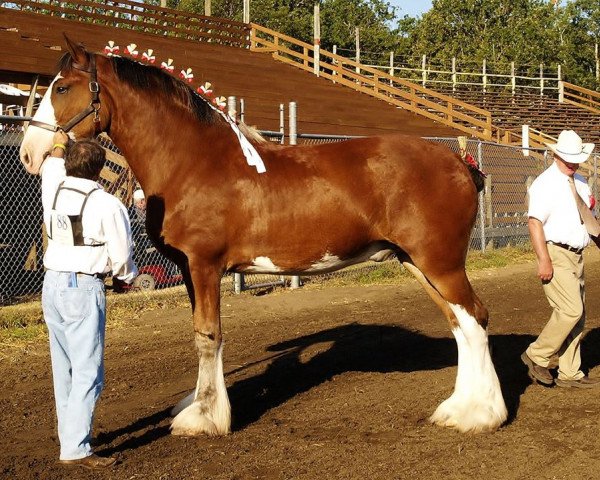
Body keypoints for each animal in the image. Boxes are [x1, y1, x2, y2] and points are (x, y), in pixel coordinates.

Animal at [18, 37, 506, 436]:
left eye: (62, 89)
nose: (28, 153)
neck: (194, 161)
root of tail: (459, 163)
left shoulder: (205, 265)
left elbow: (208, 335)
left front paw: (204, 418)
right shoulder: (190, 270)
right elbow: (203, 336)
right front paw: (199, 404)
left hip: (440, 262)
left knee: (475, 317)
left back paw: (480, 415)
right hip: (417, 261)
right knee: (459, 322)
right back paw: (459, 408)